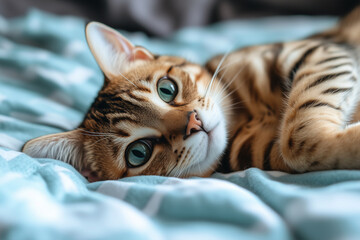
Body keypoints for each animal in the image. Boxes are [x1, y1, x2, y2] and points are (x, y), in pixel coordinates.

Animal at [21, 6, 360, 181]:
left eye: (166, 89)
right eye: (138, 152)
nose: (193, 123)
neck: (244, 118)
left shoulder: (317, 51)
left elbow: (301, 126)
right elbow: (300, 145)